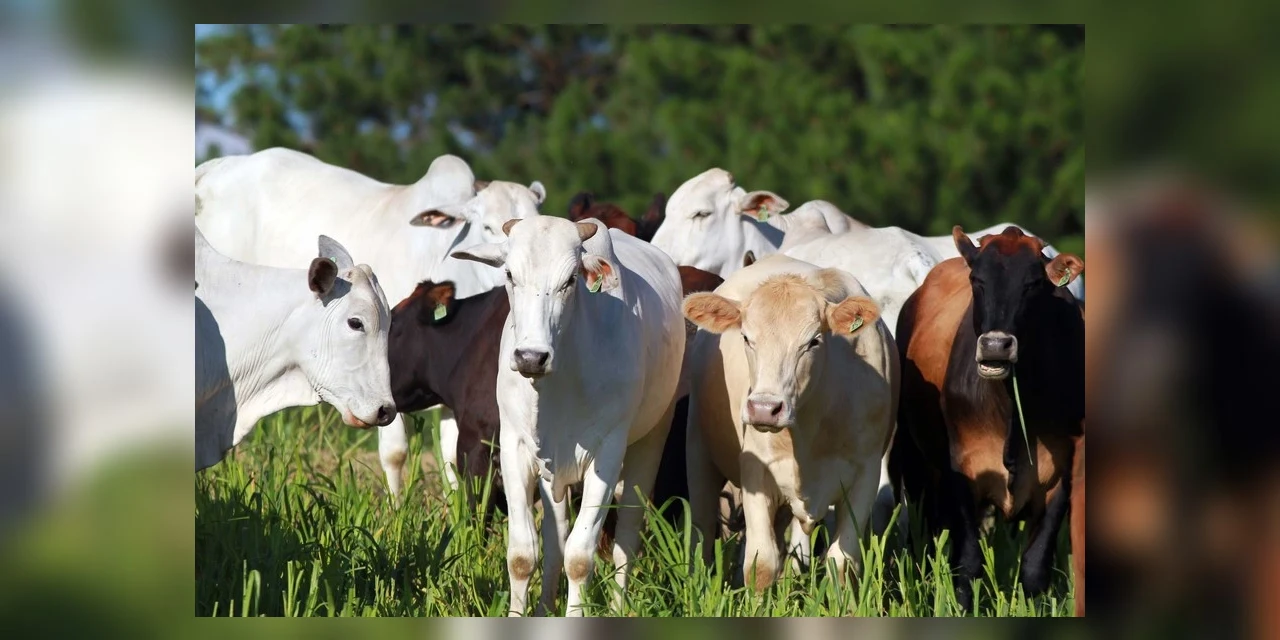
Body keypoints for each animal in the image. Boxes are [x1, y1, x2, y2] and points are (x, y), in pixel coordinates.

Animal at [451, 217, 686, 616]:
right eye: (510, 274)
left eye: (571, 279)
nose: (531, 357)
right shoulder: (515, 448)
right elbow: (523, 554)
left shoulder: (607, 454)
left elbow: (580, 557)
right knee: (555, 535)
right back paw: (545, 607)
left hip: (650, 441)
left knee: (625, 539)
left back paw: (617, 608)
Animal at [681, 254, 897, 591]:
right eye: (746, 337)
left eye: (813, 341)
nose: (764, 408)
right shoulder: (756, 470)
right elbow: (761, 563)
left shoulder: (867, 474)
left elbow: (842, 563)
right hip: (699, 450)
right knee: (702, 529)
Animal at [889, 225, 1084, 611]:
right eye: (977, 280)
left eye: (1033, 283)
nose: (996, 346)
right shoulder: (963, 470)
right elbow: (967, 564)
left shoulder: (1061, 476)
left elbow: (1034, 569)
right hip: (914, 462)